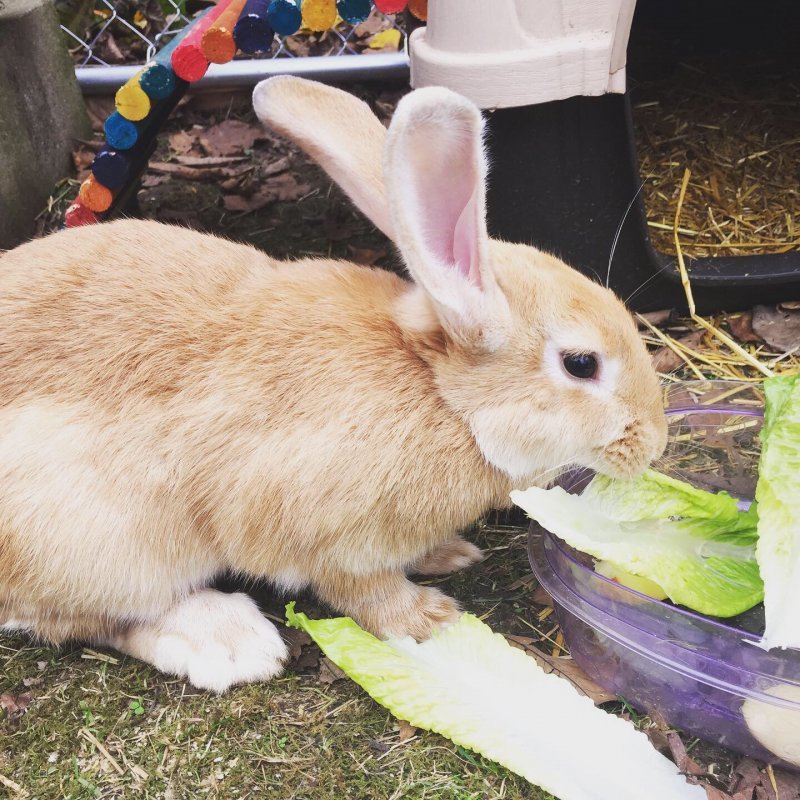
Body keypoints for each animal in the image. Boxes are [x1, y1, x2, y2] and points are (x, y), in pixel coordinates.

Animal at [0, 76, 667, 693]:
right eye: (581, 364)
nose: (655, 443)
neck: (441, 395)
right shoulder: (326, 534)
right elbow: (362, 590)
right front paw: (429, 619)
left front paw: (449, 554)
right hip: (104, 543)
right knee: (78, 619)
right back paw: (228, 642)